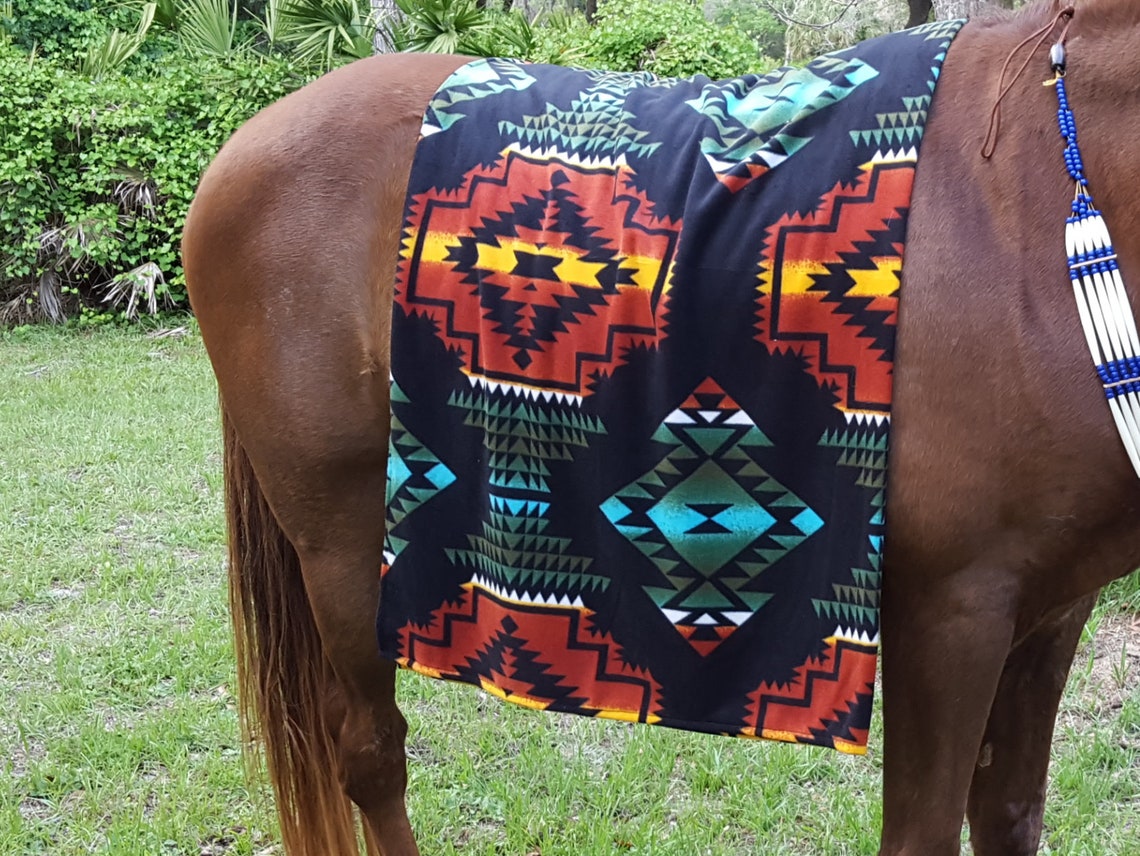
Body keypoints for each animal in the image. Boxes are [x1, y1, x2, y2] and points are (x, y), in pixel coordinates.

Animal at [181, 1, 1140, 853]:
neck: (1024, 207)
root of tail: (243, 147)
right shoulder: (951, 616)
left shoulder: (1047, 615)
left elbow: (1009, 817)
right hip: (343, 552)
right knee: (371, 755)